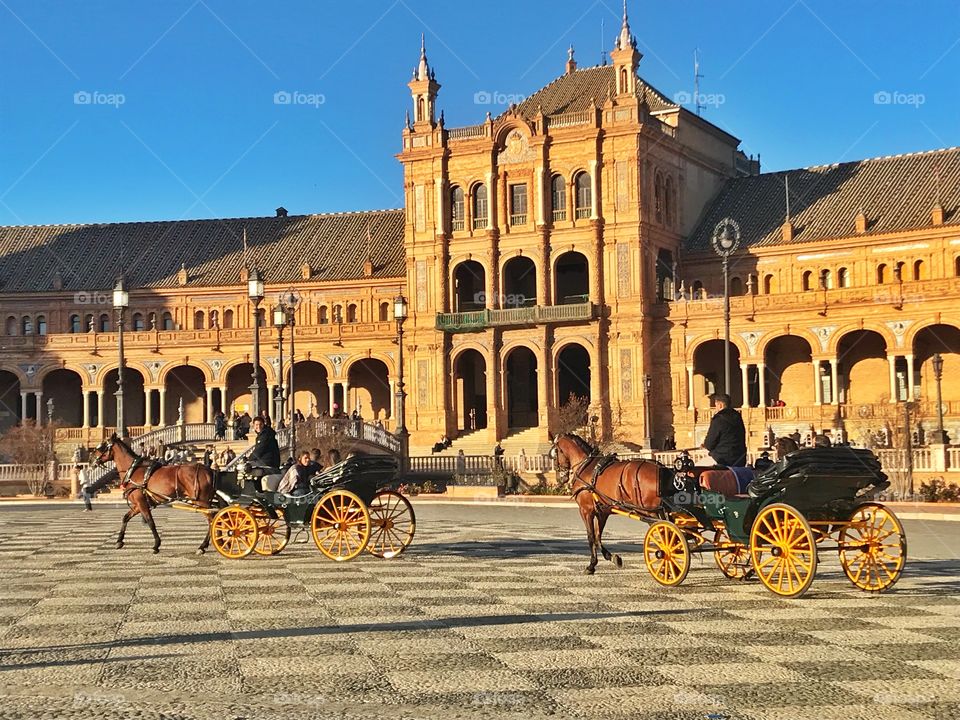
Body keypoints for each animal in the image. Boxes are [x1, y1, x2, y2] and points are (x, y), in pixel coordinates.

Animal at [552, 433, 668, 575]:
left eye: (555, 453)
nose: (560, 478)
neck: (586, 466)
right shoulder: (602, 512)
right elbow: (598, 536)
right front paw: (612, 558)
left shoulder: (585, 511)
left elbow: (591, 537)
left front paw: (591, 565)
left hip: (651, 513)